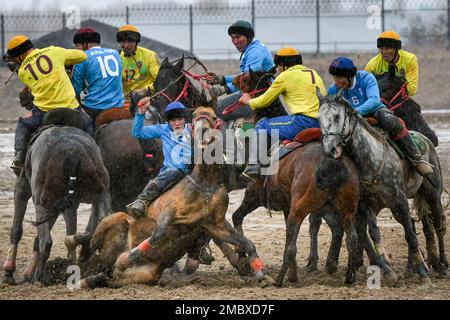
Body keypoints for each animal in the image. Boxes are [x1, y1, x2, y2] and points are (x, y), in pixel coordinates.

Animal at [2, 109, 111, 284]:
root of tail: (72, 153)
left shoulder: (23, 187)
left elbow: (17, 229)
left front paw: (9, 271)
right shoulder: (67, 204)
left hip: (42, 202)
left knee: (46, 242)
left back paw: (37, 278)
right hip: (100, 194)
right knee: (99, 225)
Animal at [74, 106, 274, 288]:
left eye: (213, 117)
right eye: (194, 116)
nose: (202, 131)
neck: (205, 184)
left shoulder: (215, 224)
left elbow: (247, 243)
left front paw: (261, 274)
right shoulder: (167, 213)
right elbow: (157, 235)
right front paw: (125, 259)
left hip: (145, 275)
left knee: (107, 276)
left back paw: (95, 276)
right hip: (114, 218)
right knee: (90, 245)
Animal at [225, 69, 362, 284]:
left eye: (247, 77)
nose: (234, 80)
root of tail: (332, 160)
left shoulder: (254, 196)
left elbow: (237, 217)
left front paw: (242, 255)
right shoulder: (286, 206)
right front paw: (294, 273)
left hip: (302, 208)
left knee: (292, 246)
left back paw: (279, 280)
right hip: (343, 208)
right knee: (349, 237)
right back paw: (345, 274)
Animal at [316, 91, 446, 284]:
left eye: (337, 116)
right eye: (318, 118)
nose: (329, 149)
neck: (370, 159)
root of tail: (425, 140)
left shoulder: (399, 201)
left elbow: (410, 235)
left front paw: (423, 274)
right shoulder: (366, 205)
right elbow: (374, 233)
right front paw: (390, 273)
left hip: (433, 194)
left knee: (438, 225)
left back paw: (442, 265)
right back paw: (424, 264)